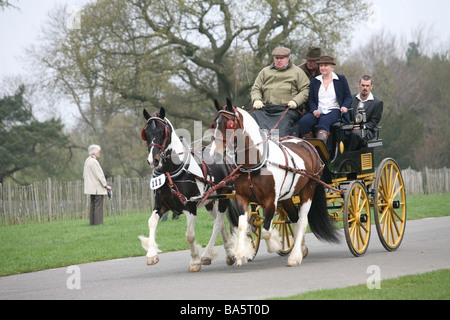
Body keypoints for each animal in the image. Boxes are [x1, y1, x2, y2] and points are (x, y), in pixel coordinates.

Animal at [140, 108, 239, 272]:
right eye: (146, 133)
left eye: (162, 132)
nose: (153, 160)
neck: (171, 172)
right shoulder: (161, 205)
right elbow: (151, 222)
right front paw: (152, 254)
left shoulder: (190, 207)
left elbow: (190, 235)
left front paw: (194, 261)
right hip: (209, 202)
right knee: (222, 224)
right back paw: (229, 255)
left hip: (224, 197)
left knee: (218, 224)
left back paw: (206, 255)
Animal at [211, 100, 342, 268]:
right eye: (214, 124)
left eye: (230, 124)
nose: (215, 153)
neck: (255, 163)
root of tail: (308, 144)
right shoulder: (242, 198)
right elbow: (242, 226)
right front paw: (242, 253)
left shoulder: (271, 200)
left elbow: (267, 231)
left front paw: (274, 244)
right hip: (287, 197)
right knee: (295, 218)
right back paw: (302, 249)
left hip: (308, 189)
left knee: (302, 220)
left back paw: (295, 256)